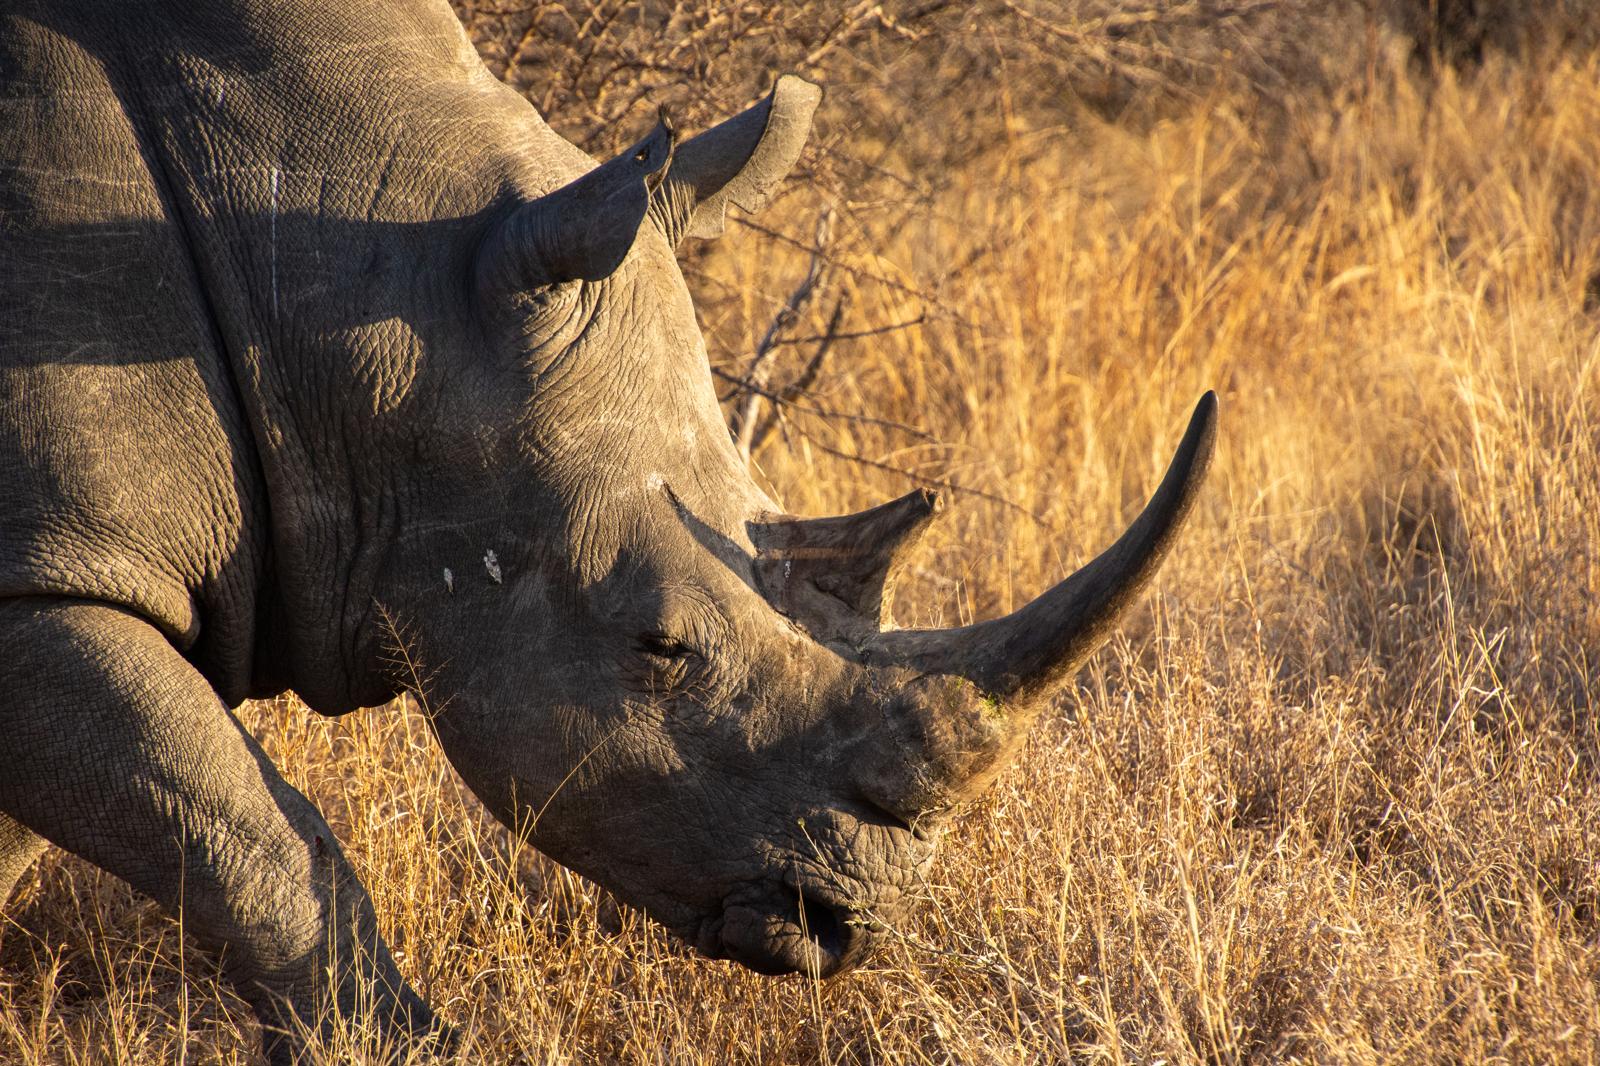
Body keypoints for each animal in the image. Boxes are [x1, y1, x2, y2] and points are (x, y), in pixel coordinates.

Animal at [0, 0, 1216, 1060]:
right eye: (659, 647)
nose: (846, 921)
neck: (337, 302)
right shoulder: (40, 577)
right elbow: (245, 836)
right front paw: (410, 1049)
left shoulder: (45, 569)